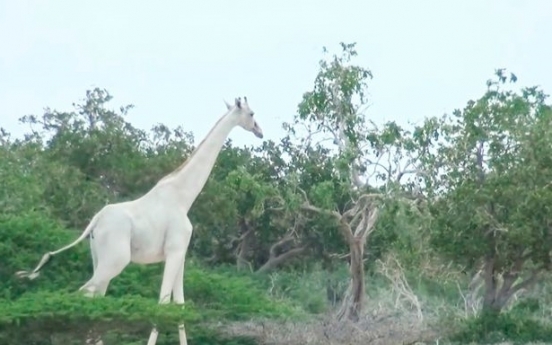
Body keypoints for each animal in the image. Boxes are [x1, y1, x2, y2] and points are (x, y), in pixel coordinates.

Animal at [16, 96, 266, 344]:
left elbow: (180, 305)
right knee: (85, 293)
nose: (260, 131)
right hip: (116, 259)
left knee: (97, 297)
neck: (183, 197)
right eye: (252, 113)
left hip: (98, 257)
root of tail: (95, 221)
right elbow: (163, 303)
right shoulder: (175, 250)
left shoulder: (180, 254)